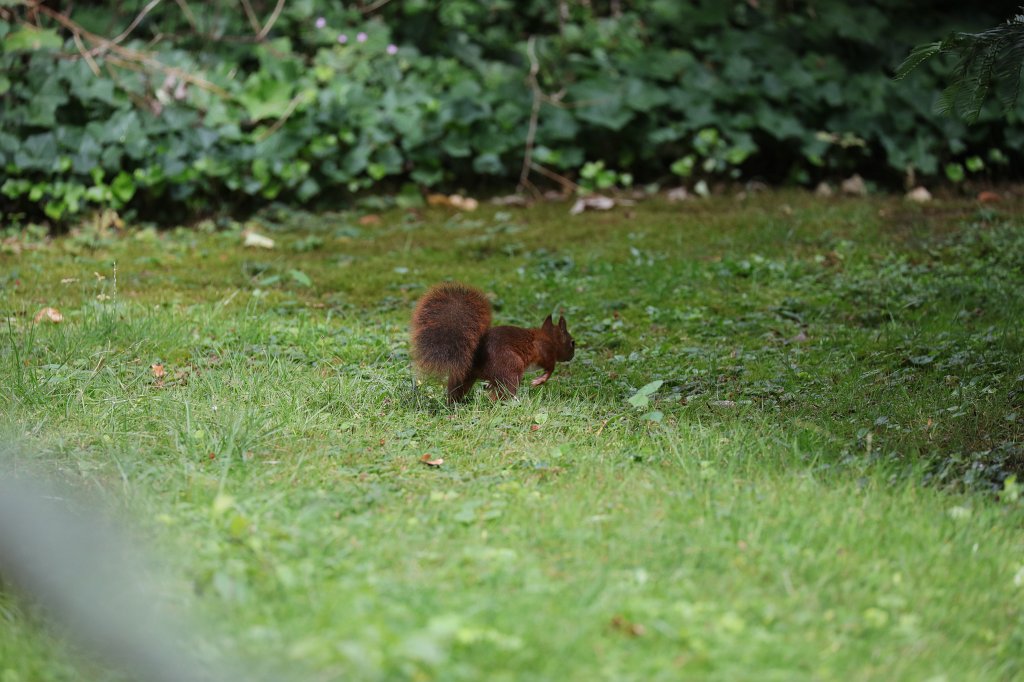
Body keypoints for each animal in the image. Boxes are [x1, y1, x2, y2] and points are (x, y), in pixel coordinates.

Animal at [410, 282, 575, 402]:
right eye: (572, 342)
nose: (572, 356)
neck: (549, 338)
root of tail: (477, 355)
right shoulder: (545, 351)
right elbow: (550, 368)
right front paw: (539, 380)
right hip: (511, 367)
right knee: (502, 393)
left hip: (465, 375)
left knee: (457, 390)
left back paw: (453, 404)